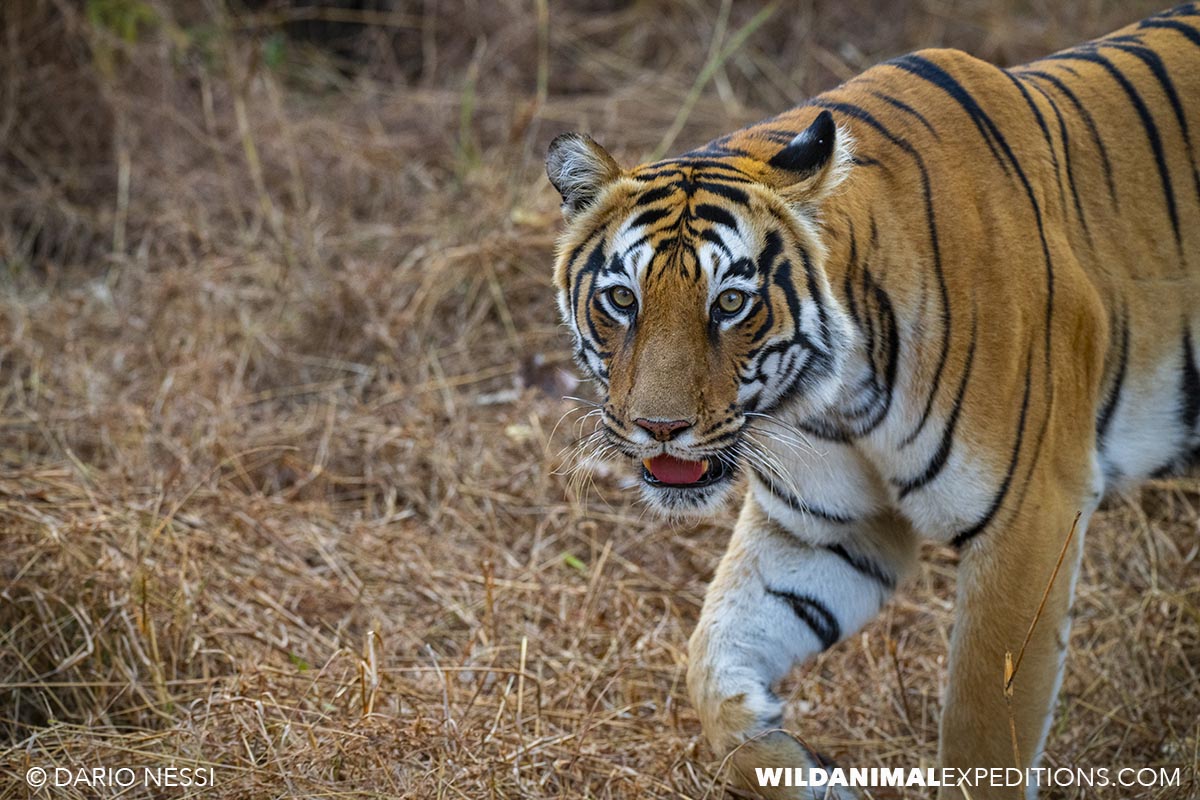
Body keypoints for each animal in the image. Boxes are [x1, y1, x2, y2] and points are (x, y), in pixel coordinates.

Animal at [545, 4, 1199, 799]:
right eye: (621, 299)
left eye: (730, 302)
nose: (659, 428)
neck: (836, 399)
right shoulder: (825, 528)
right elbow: (710, 659)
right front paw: (799, 765)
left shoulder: (1031, 517)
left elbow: (985, 733)